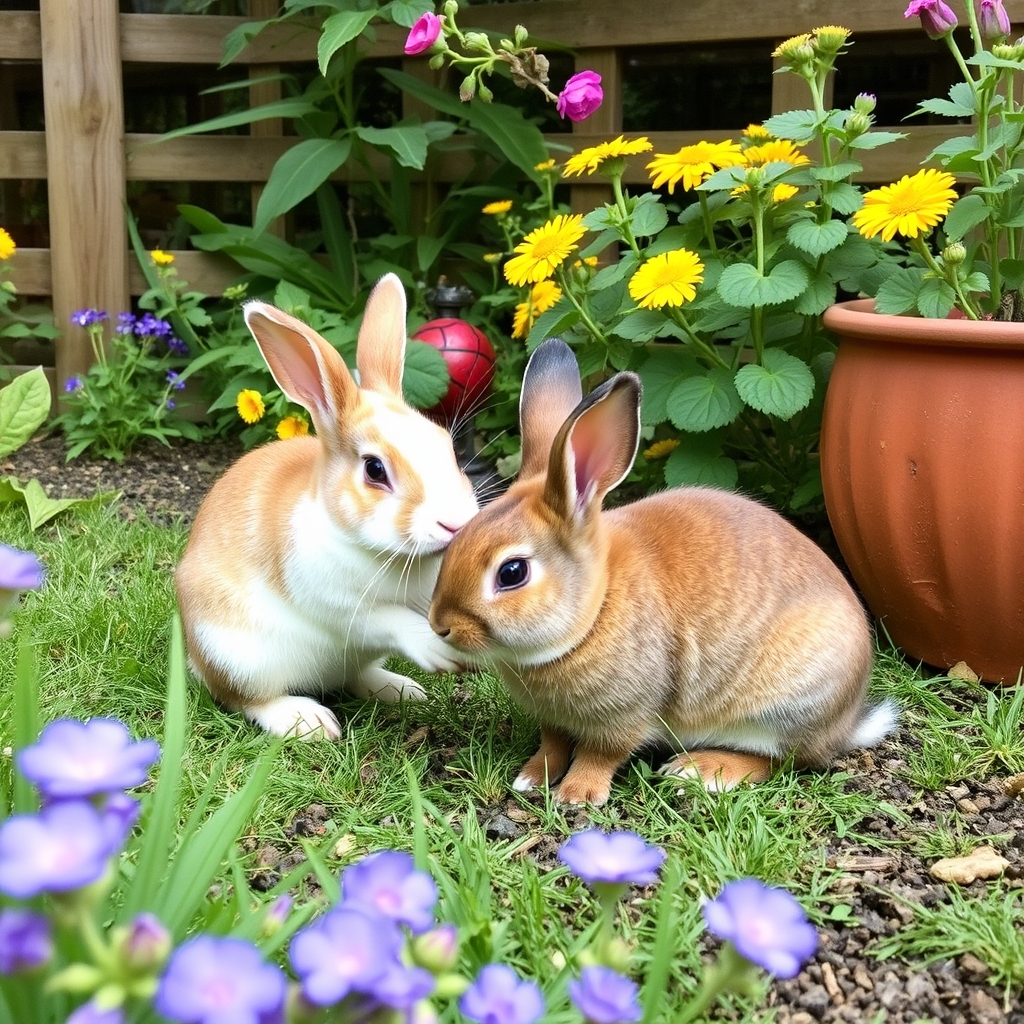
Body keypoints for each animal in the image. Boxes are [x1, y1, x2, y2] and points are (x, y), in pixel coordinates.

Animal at [176, 274, 479, 740]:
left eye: (448, 447)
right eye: (374, 469)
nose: (455, 524)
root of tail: (196, 657)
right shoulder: (338, 605)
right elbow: (388, 620)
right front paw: (437, 650)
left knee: (355, 678)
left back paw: (401, 690)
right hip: (236, 656)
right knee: (244, 698)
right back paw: (309, 722)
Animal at [428, 337, 897, 806]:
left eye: (511, 572)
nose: (440, 625)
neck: (594, 610)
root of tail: (845, 724)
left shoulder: (625, 715)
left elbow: (601, 753)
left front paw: (576, 795)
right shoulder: (554, 721)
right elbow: (553, 744)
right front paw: (531, 777)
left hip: (782, 708)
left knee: (784, 761)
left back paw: (695, 770)